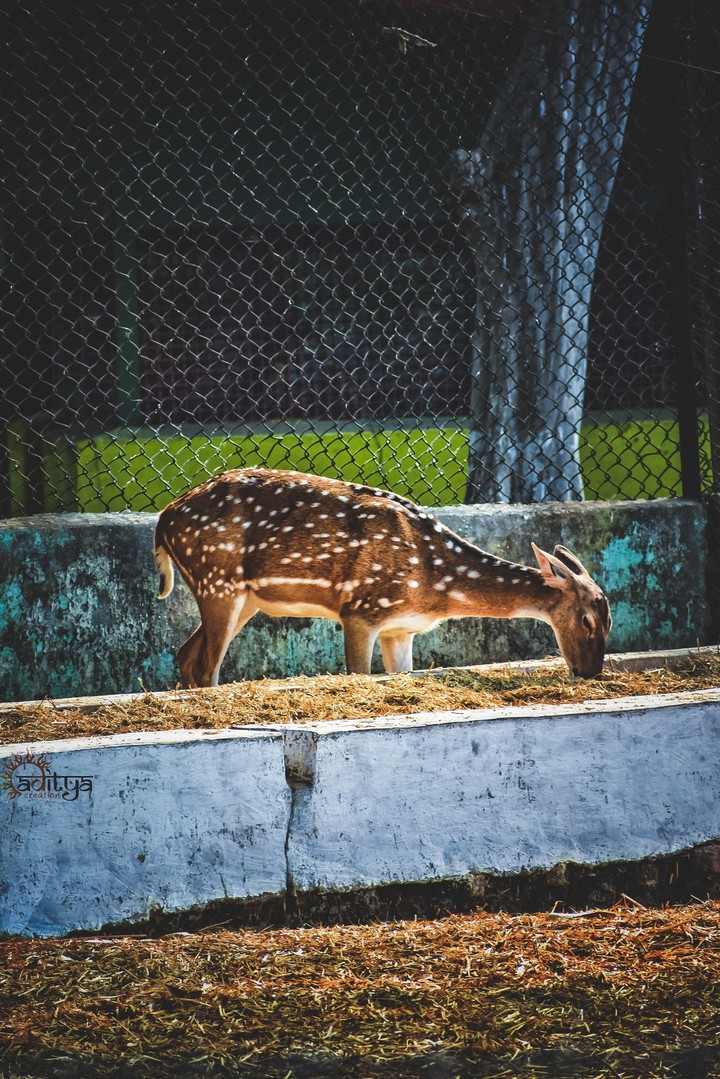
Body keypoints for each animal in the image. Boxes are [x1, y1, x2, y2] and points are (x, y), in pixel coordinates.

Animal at [154, 467, 612, 688]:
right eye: (588, 621)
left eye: (610, 622)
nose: (591, 672)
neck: (436, 584)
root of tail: (164, 518)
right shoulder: (361, 608)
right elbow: (358, 674)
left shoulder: (400, 628)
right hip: (217, 577)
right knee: (206, 666)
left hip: (243, 597)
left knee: (186, 654)